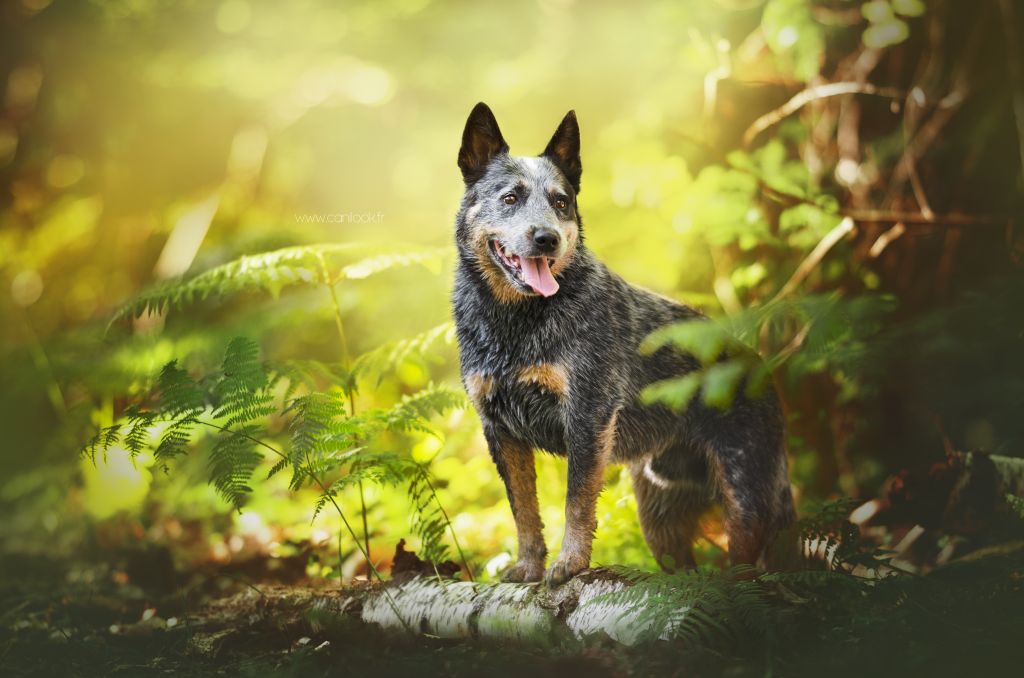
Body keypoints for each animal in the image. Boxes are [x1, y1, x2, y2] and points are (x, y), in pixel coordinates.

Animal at [452, 103, 794, 585]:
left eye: (561, 202)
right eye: (510, 198)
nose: (547, 238)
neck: (514, 324)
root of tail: (759, 366)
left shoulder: (586, 415)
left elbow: (576, 502)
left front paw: (570, 563)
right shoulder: (499, 429)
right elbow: (523, 510)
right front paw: (528, 565)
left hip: (746, 497)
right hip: (659, 520)